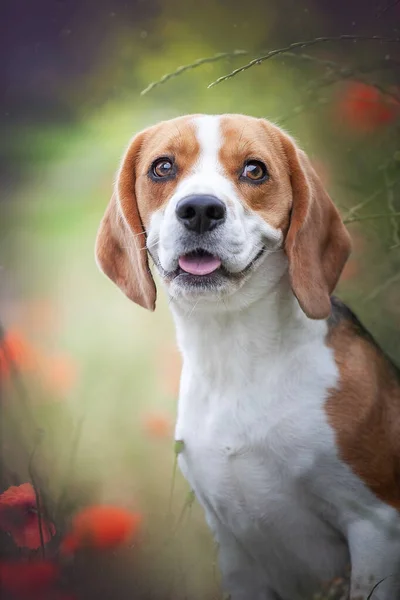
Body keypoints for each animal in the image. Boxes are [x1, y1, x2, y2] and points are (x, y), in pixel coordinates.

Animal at [95, 113, 400, 600]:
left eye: (255, 170)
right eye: (162, 167)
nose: (200, 209)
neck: (233, 356)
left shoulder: (376, 525)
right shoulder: (236, 553)